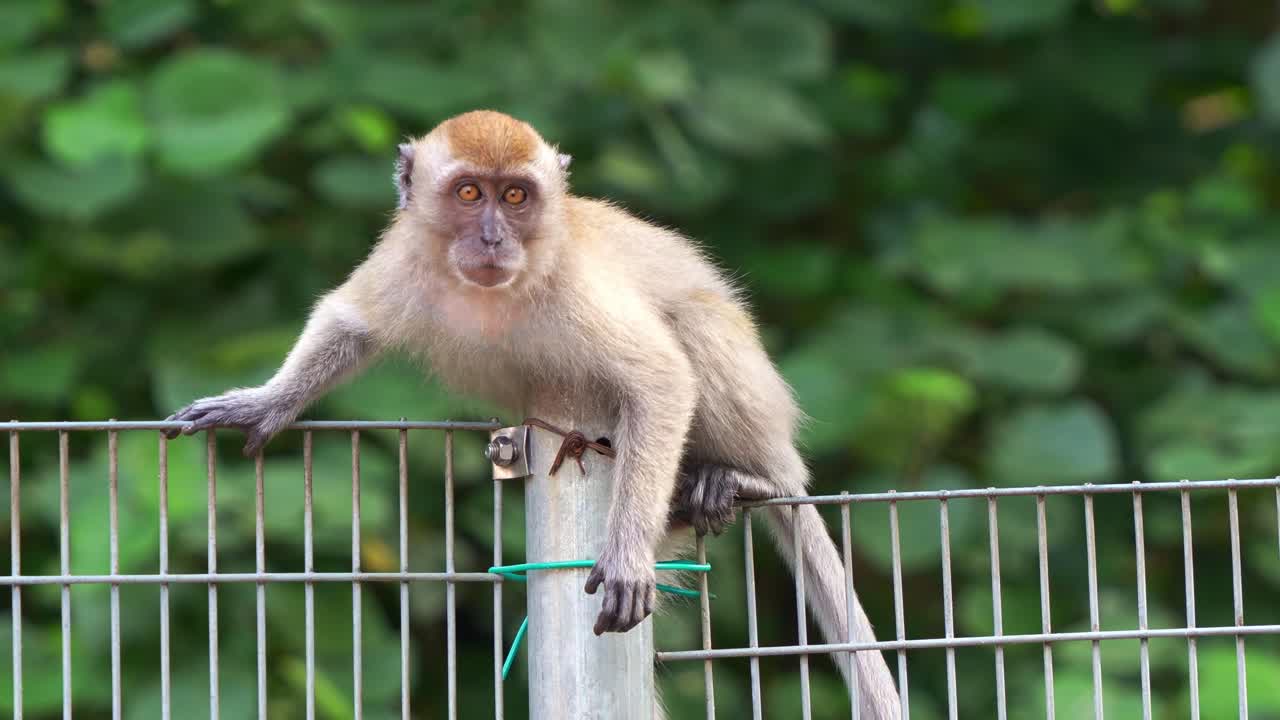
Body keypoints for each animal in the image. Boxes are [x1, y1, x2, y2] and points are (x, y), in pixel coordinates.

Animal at [165, 110, 901, 718]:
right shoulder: (405, 258)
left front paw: (627, 555)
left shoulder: (575, 287)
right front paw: (267, 401)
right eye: (470, 194)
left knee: (695, 326)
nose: (493, 237)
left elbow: (660, 378)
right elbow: (350, 323)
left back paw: (743, 481)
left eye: (515, 196)